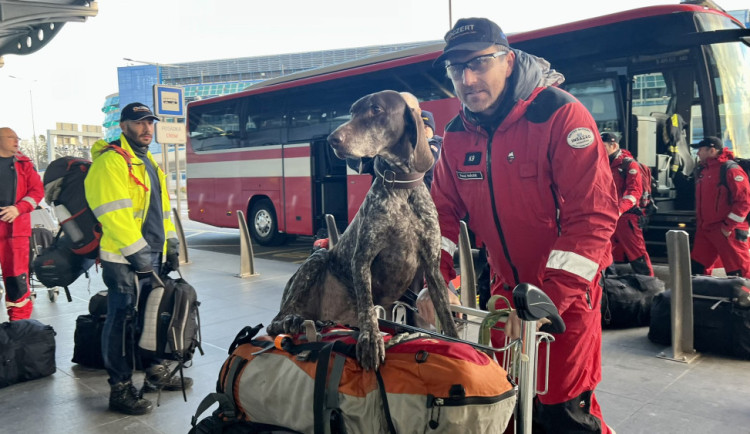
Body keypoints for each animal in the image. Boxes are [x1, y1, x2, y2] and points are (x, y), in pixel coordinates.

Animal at [268, 90, 462, 372]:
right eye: (351, 112)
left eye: (376, 109)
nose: (332, 139)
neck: (401, 187)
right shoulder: (362, 258)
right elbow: (368, 307)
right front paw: (371, 339)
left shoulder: (431, 265)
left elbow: (444, 312)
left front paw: (455, 339)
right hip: (317, 259)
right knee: (277, 320)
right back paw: (292, 321)